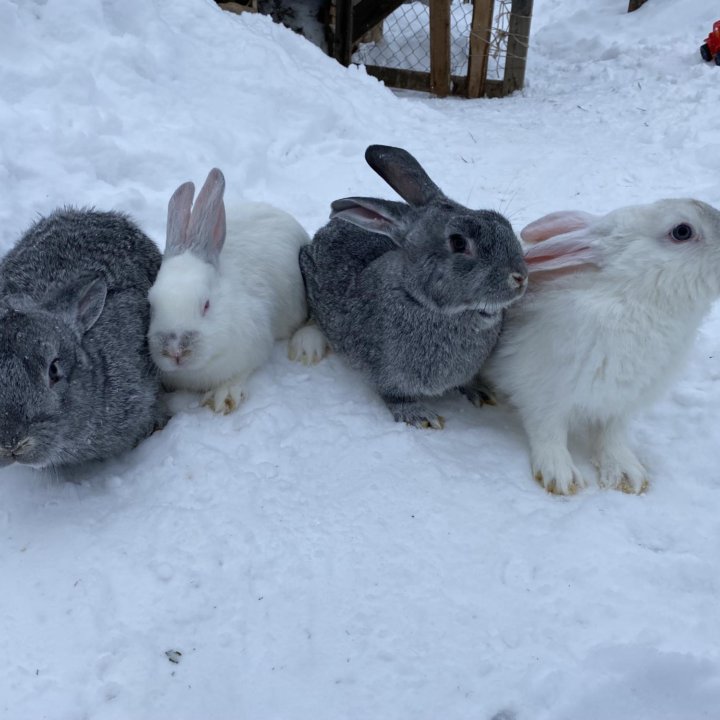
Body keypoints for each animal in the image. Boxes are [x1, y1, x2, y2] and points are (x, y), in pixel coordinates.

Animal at [147, 168, 326, 414]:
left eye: (206, 305)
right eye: (152, 305)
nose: (175, 352)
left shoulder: (253, 347)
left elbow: (238, 375)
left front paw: (223, 397)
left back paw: (305, 346)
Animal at [300, 145, 528, 428]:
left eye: (501, 221)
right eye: (459, 243)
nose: (520, 276)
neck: (420, 300)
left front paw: (481, 391)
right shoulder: (388, 374)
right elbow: (395, 396)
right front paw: (420, 416)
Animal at [480, 198, 720, 496]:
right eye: (682, 231)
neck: (633, 296)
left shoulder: (620, 403)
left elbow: (611, 436)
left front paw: (628, 474)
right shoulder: (543, 393)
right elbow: (548, 432)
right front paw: (560, 476)